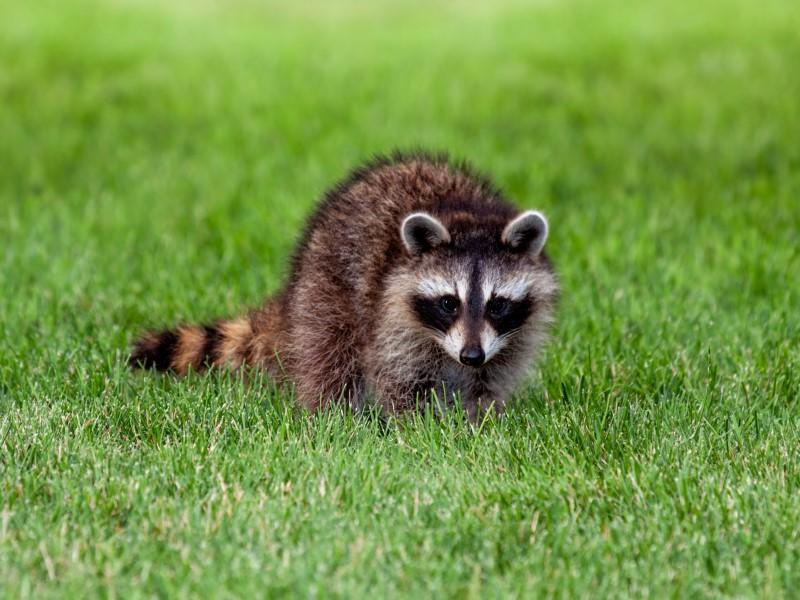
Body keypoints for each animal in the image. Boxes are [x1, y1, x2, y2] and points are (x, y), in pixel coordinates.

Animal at [130, 152, 559, 419]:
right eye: (448, 303)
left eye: (497, 304)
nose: (471, 356)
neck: (466, 214)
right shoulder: (391, 315)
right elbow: (398, 377)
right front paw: (418, 426)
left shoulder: (510, 337)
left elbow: (491, 378)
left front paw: (483, 420)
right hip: (326, 285)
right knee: (330, 349)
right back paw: (334, 415)